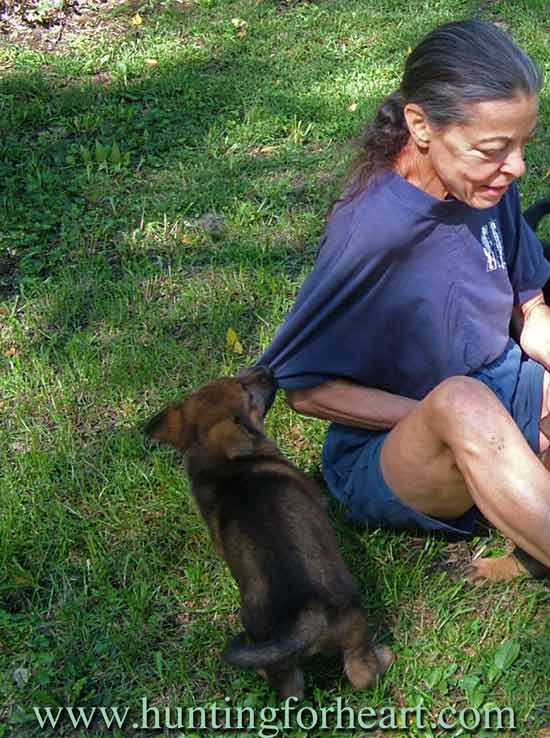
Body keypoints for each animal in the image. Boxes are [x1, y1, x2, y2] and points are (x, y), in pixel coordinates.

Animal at [147, 368, 394, 696]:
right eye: (245, 390)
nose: (267, 370)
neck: (221, 464)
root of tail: (306, 619)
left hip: (282, 655)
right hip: (353, 625)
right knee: (361, 674)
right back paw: (385, 657)